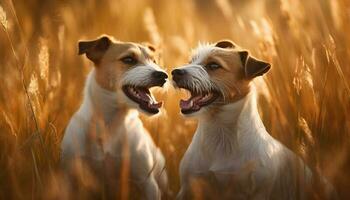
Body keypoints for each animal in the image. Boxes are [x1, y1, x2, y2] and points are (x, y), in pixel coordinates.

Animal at [61, 35, 170, 199]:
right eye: (128, 59)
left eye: (154, 61)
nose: (163, 75)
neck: (111, 124)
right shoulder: (71, 178)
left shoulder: (148, 183)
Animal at [172, 40, 336, 200]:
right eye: (191, 61)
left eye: (213, 65)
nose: (174, 72)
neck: (219, 131)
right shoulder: (188, 187)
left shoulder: (258, 192)